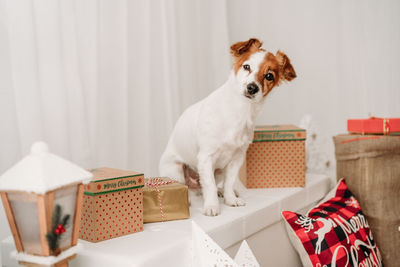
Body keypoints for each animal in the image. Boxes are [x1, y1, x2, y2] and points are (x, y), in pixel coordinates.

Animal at [159, 38, 296, 216]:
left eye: (269, 76)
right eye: (246, 67)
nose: (252, 88)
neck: (240, 111)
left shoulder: (236, 159)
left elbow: (229, 183)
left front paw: (230, 199)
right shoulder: (206, 157)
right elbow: (209, 185)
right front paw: (212, 206)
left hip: (218, 171)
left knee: (209, 185)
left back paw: (221, 192)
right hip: (175, 171)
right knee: (191, 187)